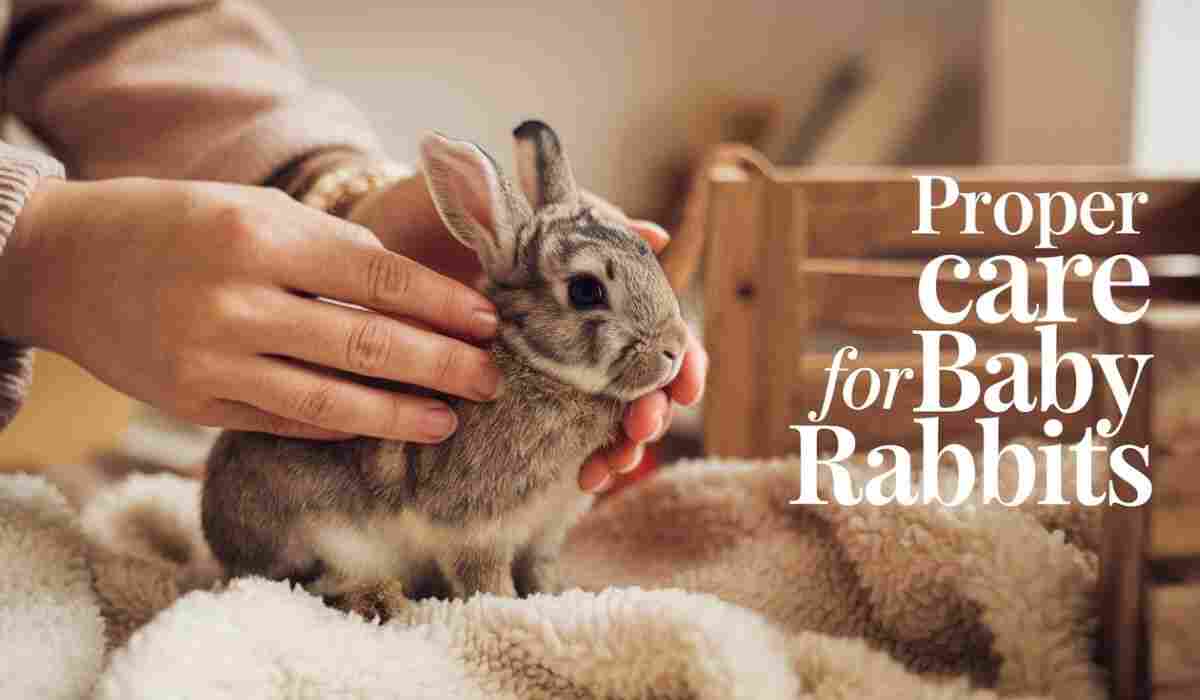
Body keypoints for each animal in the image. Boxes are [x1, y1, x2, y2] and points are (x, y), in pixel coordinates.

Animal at [202, 120, 691, 619]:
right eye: (586, 290)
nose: (675, 349)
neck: (536, 366)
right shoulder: (476, 526)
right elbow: (483, 575)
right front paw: (506, 608)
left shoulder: (545, 530)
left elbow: (540, 570)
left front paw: (559, 596)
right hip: (318, 536)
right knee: (307, 586)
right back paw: (382, 601)